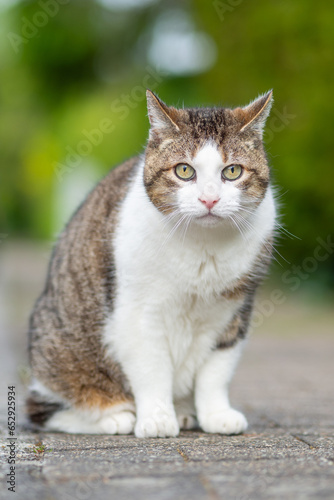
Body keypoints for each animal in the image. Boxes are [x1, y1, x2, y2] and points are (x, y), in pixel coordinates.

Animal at [26, 90, 276, 438]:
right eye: (184, 171)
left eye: (232, 172)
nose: (209, 199)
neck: (202, 245)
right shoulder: (138, 313)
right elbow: (152, 369)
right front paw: (156, 418)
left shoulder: (234, 311)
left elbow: (216, 371)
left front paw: (216, 414)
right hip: (61, 353)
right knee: (44, 410)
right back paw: (115, 417)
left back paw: (184, 412)